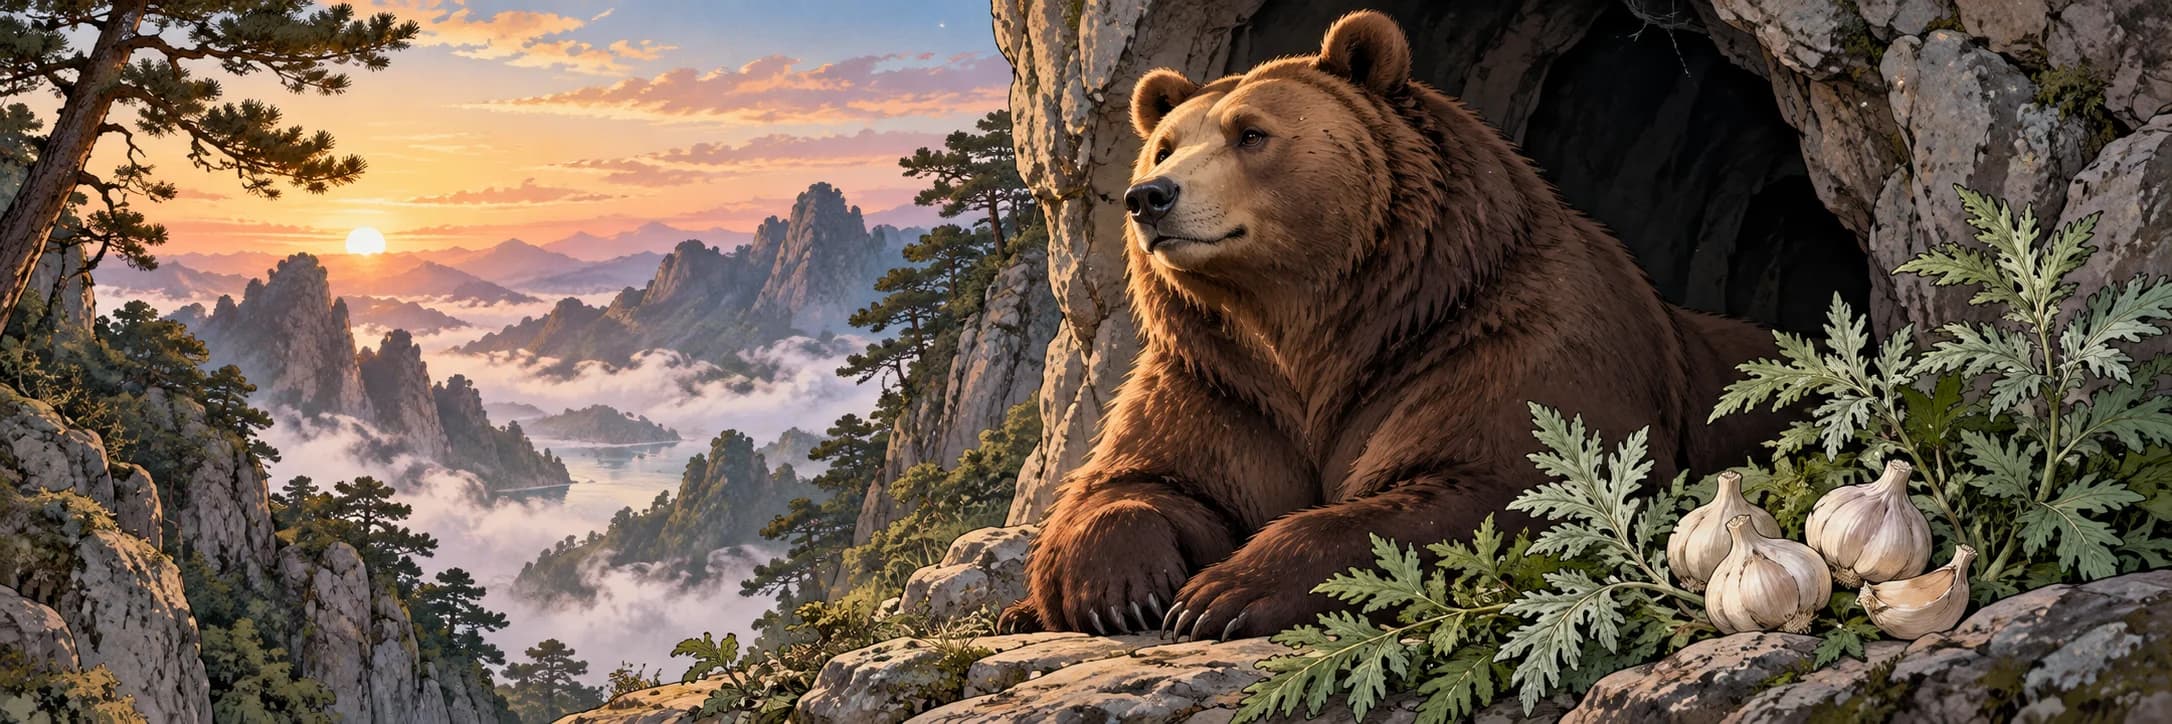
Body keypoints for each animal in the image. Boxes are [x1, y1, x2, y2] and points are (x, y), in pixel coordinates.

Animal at [999, 10, 1792, 641]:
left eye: (1250, 133)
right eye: (1166, 143)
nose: (1149, 196)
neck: (1312, 327)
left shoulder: (1494, 343)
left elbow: (1490, 485)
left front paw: (1223, 594)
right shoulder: (1222, 383)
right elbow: (1146, 479)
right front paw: (1122, 591)